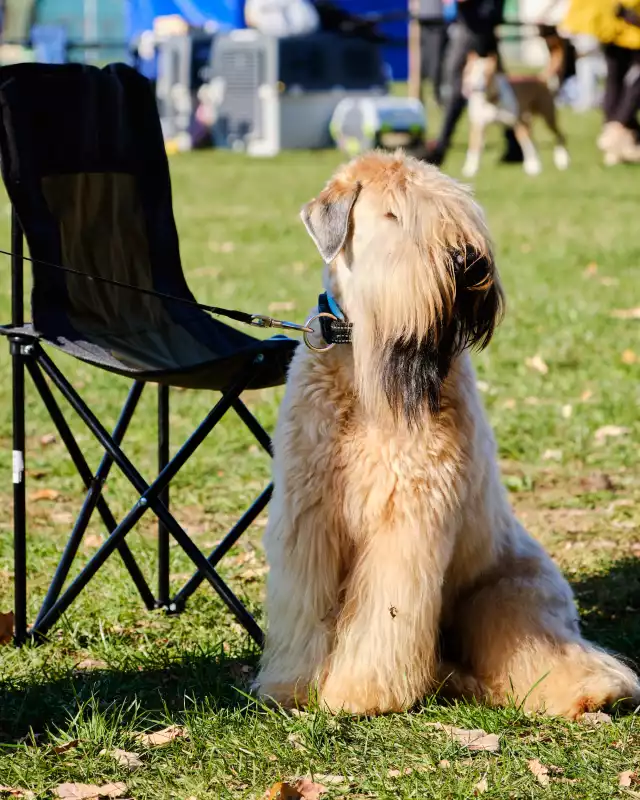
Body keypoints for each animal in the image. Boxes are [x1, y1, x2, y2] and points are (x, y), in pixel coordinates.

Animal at [255, 152, 640, 720]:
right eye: (394, 214)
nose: (469, 261)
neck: (365, 370)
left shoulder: (406, 521)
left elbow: (384, 619)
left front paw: (359, 694)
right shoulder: (310, 516)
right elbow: (305, 610)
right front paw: (293, 687)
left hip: (507, 598)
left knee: (556, 657)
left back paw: (591, 690)